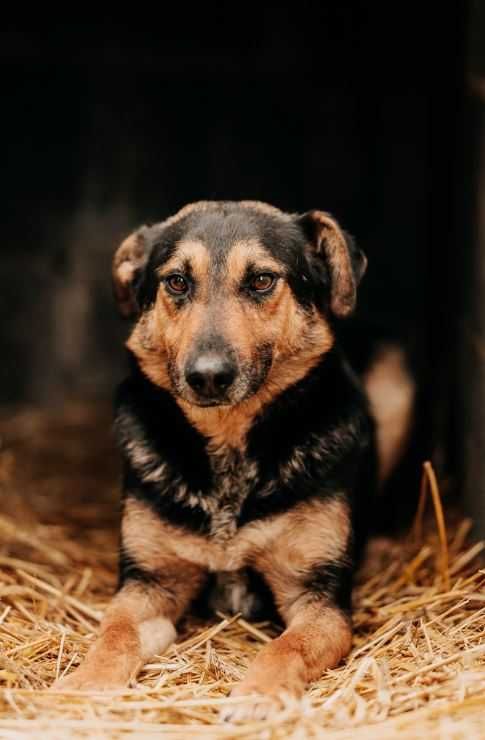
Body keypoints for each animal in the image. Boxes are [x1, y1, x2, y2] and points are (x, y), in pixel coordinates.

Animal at [54, 199, 414, 720]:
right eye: (176, 282)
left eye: (262, 280)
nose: (207, 377)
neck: (228, 446)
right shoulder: (148, 584)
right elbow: (113, 633)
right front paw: (88, 682)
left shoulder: (318, 598)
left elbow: (287, 647)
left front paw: (258, 694)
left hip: (395, 379)